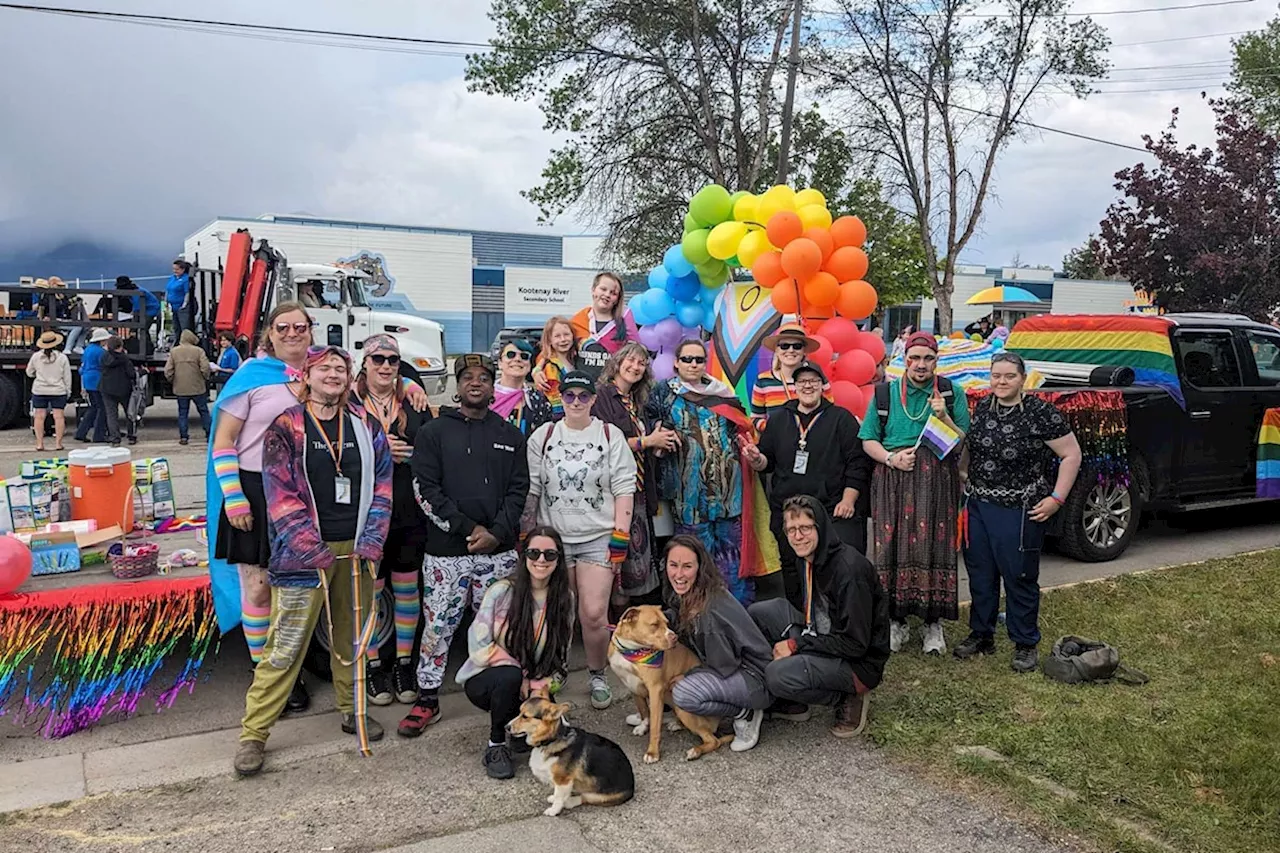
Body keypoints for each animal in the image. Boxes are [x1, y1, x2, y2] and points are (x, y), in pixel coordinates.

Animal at [606, 601, 732, 758]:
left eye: (666, 623)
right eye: (654, 624)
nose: (674, 637)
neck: (632, 649)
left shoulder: (655, 689)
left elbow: (655, 725)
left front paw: (653, 752)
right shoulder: (632, 685)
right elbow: (644, 711)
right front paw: (643, 726)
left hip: (683, 709)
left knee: (714, 740)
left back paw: (695, 751)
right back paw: (676, 724)